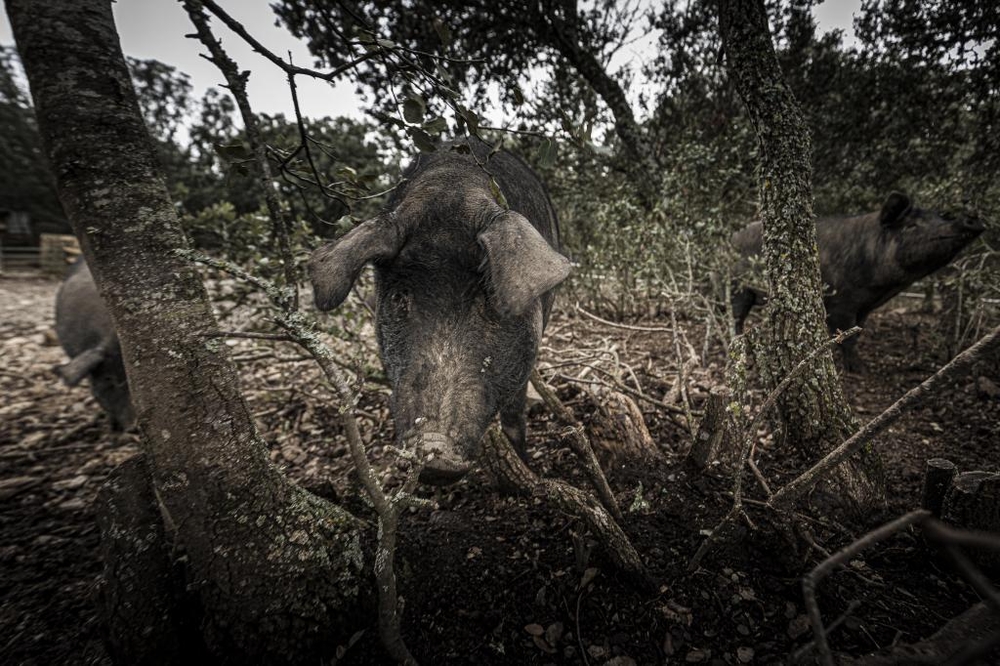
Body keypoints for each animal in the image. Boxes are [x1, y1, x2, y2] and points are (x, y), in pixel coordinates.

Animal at [308, 140, 572, 482]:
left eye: (489, 299)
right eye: (400, 298)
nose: (433, 450)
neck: (452, 182)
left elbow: (515, 415)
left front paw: (528, 471)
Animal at [732, 192, 988, 370]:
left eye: (938, 217)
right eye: (911, 226)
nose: (971, 217)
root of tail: (733, 236)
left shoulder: (865, 307)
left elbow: (856, 334)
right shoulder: (841, 303)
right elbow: (846, 336)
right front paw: (857, 369)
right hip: (738, 287)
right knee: (736, 317)